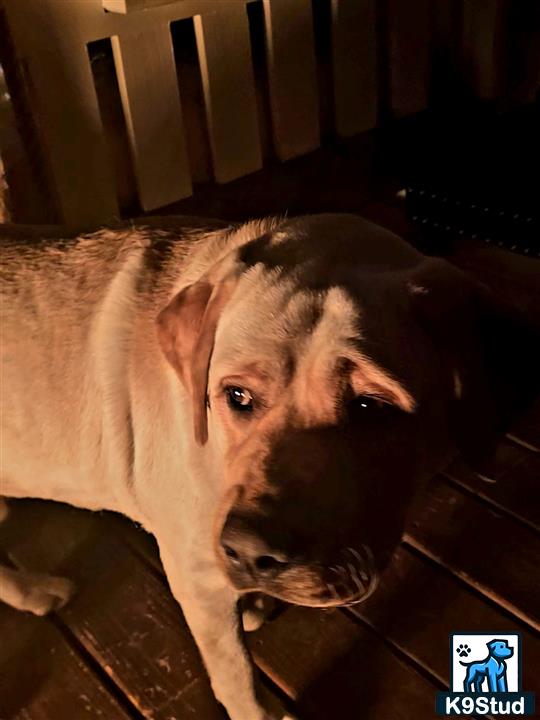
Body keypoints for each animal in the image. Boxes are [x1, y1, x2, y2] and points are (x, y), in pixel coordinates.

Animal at [0, 214, 536, 720]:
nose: (248, 552)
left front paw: (254, 599)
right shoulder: (195, 575)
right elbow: (235, 672)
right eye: (237, 396)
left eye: (371, 407)